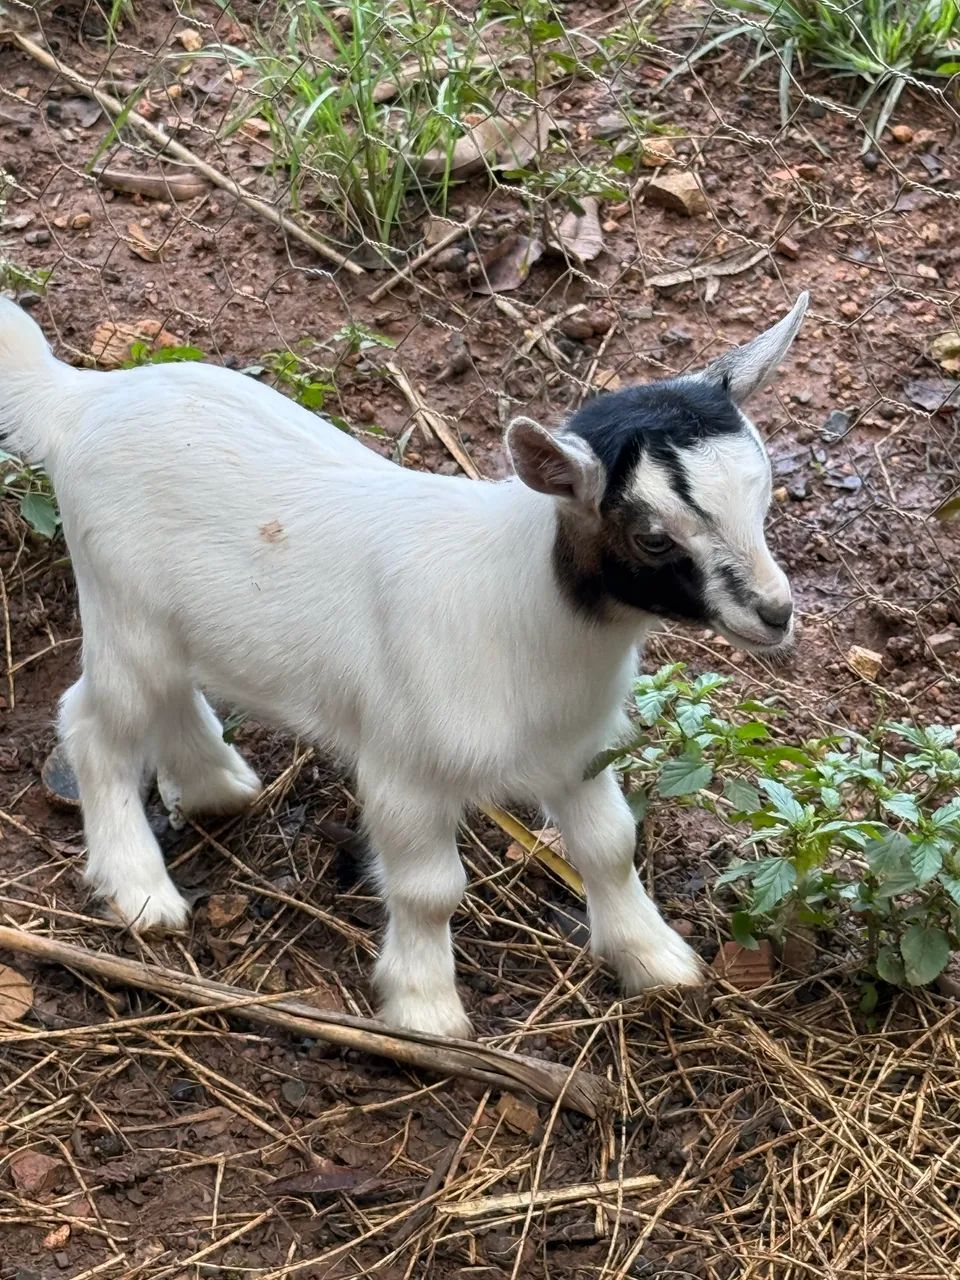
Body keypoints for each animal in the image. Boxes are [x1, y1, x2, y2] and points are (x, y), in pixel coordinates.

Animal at [0, 293, 807, 1036]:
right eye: (653, 538)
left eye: (763, 494)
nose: (775, 613)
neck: (521, 606)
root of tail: (80, 398)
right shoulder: (406, 768)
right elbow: (429, 889)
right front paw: (426, 1010)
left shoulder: (575, 749)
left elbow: (609, 846)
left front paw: (657, 962)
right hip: (122, 605)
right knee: (94, 724)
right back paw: (142, 891)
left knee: (167, 695)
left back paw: (215, 785)